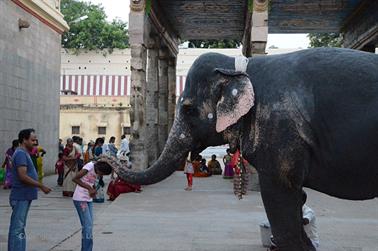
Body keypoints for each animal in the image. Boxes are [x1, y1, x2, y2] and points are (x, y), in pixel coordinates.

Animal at [117, 47, 378, 251]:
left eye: (189, 109)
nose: (116, 159)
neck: (238, 67)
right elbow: (296, 199)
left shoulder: (279, 132)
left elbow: (280, 199)